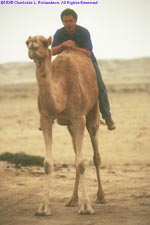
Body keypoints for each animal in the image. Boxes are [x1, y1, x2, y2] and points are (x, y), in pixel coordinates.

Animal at [25, 35, 105, 216]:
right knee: (76, 154)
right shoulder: (46, 118)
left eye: (44, 42)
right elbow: (48, 164)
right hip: (70, 127)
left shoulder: (79, 117)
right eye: (27, 42)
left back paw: (101, 196)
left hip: (92, 113)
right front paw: (43, 208)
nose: (32, 45)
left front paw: (86, 207)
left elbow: (81, 163)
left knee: (95, 155)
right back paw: (72, 200)